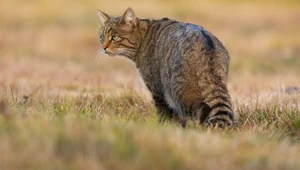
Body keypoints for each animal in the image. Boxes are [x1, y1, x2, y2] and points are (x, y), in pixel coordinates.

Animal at [97, 7, 233, 127]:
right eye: (102, 37)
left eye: (115, 37)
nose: (103, 47)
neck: (144, 36)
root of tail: (206, 43)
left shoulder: (157, 89)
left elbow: (164, 112)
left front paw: (163, 127)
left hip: (179, 90)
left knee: (200, 109)